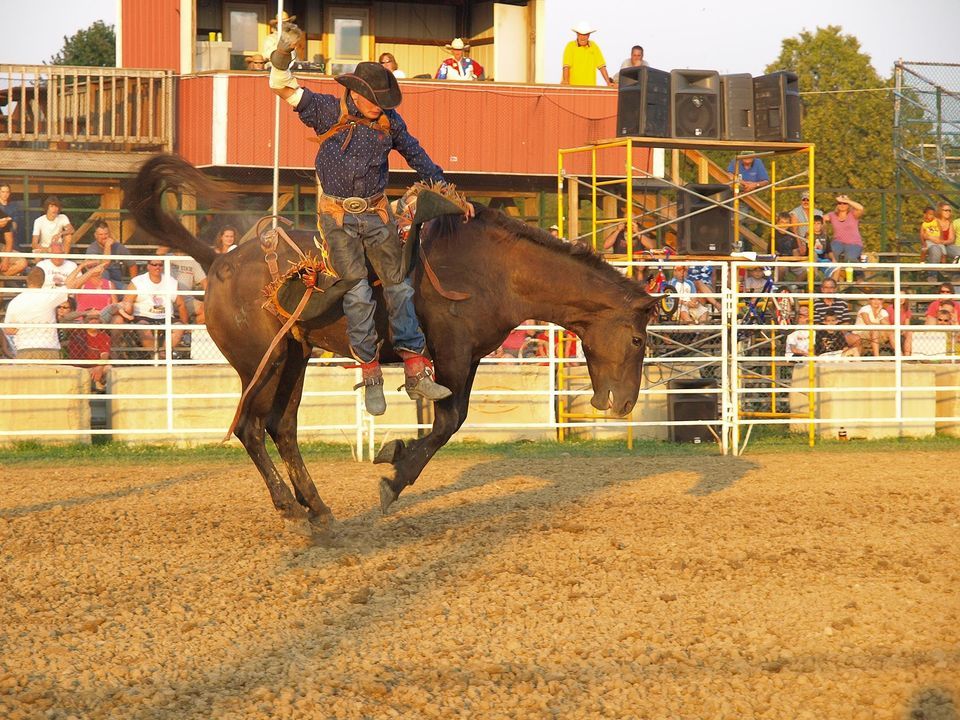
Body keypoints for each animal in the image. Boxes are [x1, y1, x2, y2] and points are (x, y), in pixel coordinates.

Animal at [125, 152, 660, 536]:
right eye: (637, 337)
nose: (624, 402)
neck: (495, 270)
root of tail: (217, 261)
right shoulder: (451, 353)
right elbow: (447, 422)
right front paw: (393, 472)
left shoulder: (465, 358)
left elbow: (449, 420)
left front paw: (394, 456)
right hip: (263, 359)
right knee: (250, 428)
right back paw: (292, 509)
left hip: (295, 357)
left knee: (282, 427)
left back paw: (317, 508)